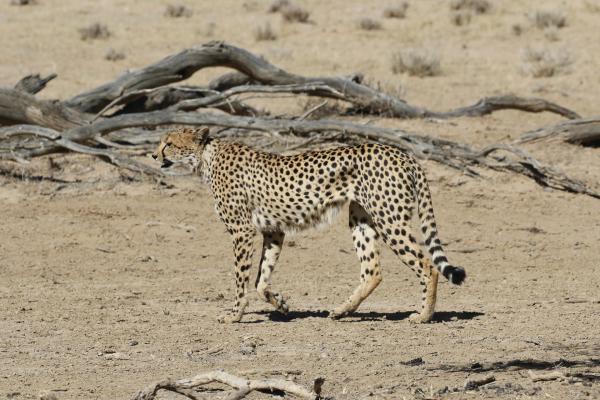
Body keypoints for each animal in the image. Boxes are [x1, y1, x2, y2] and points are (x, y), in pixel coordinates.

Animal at [154, 126, 464, 324]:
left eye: (169, 143)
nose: (154, 155)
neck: (207, 157)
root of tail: (403, 154)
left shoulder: (242, 231)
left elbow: (241, 278)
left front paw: (234, 314)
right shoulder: (273, 231)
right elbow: (260, 279)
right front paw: (280, 304)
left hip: (389, 219)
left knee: (427, 265)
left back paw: (423, 316)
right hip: (360, 218)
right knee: (372, 271)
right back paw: (342, 311)